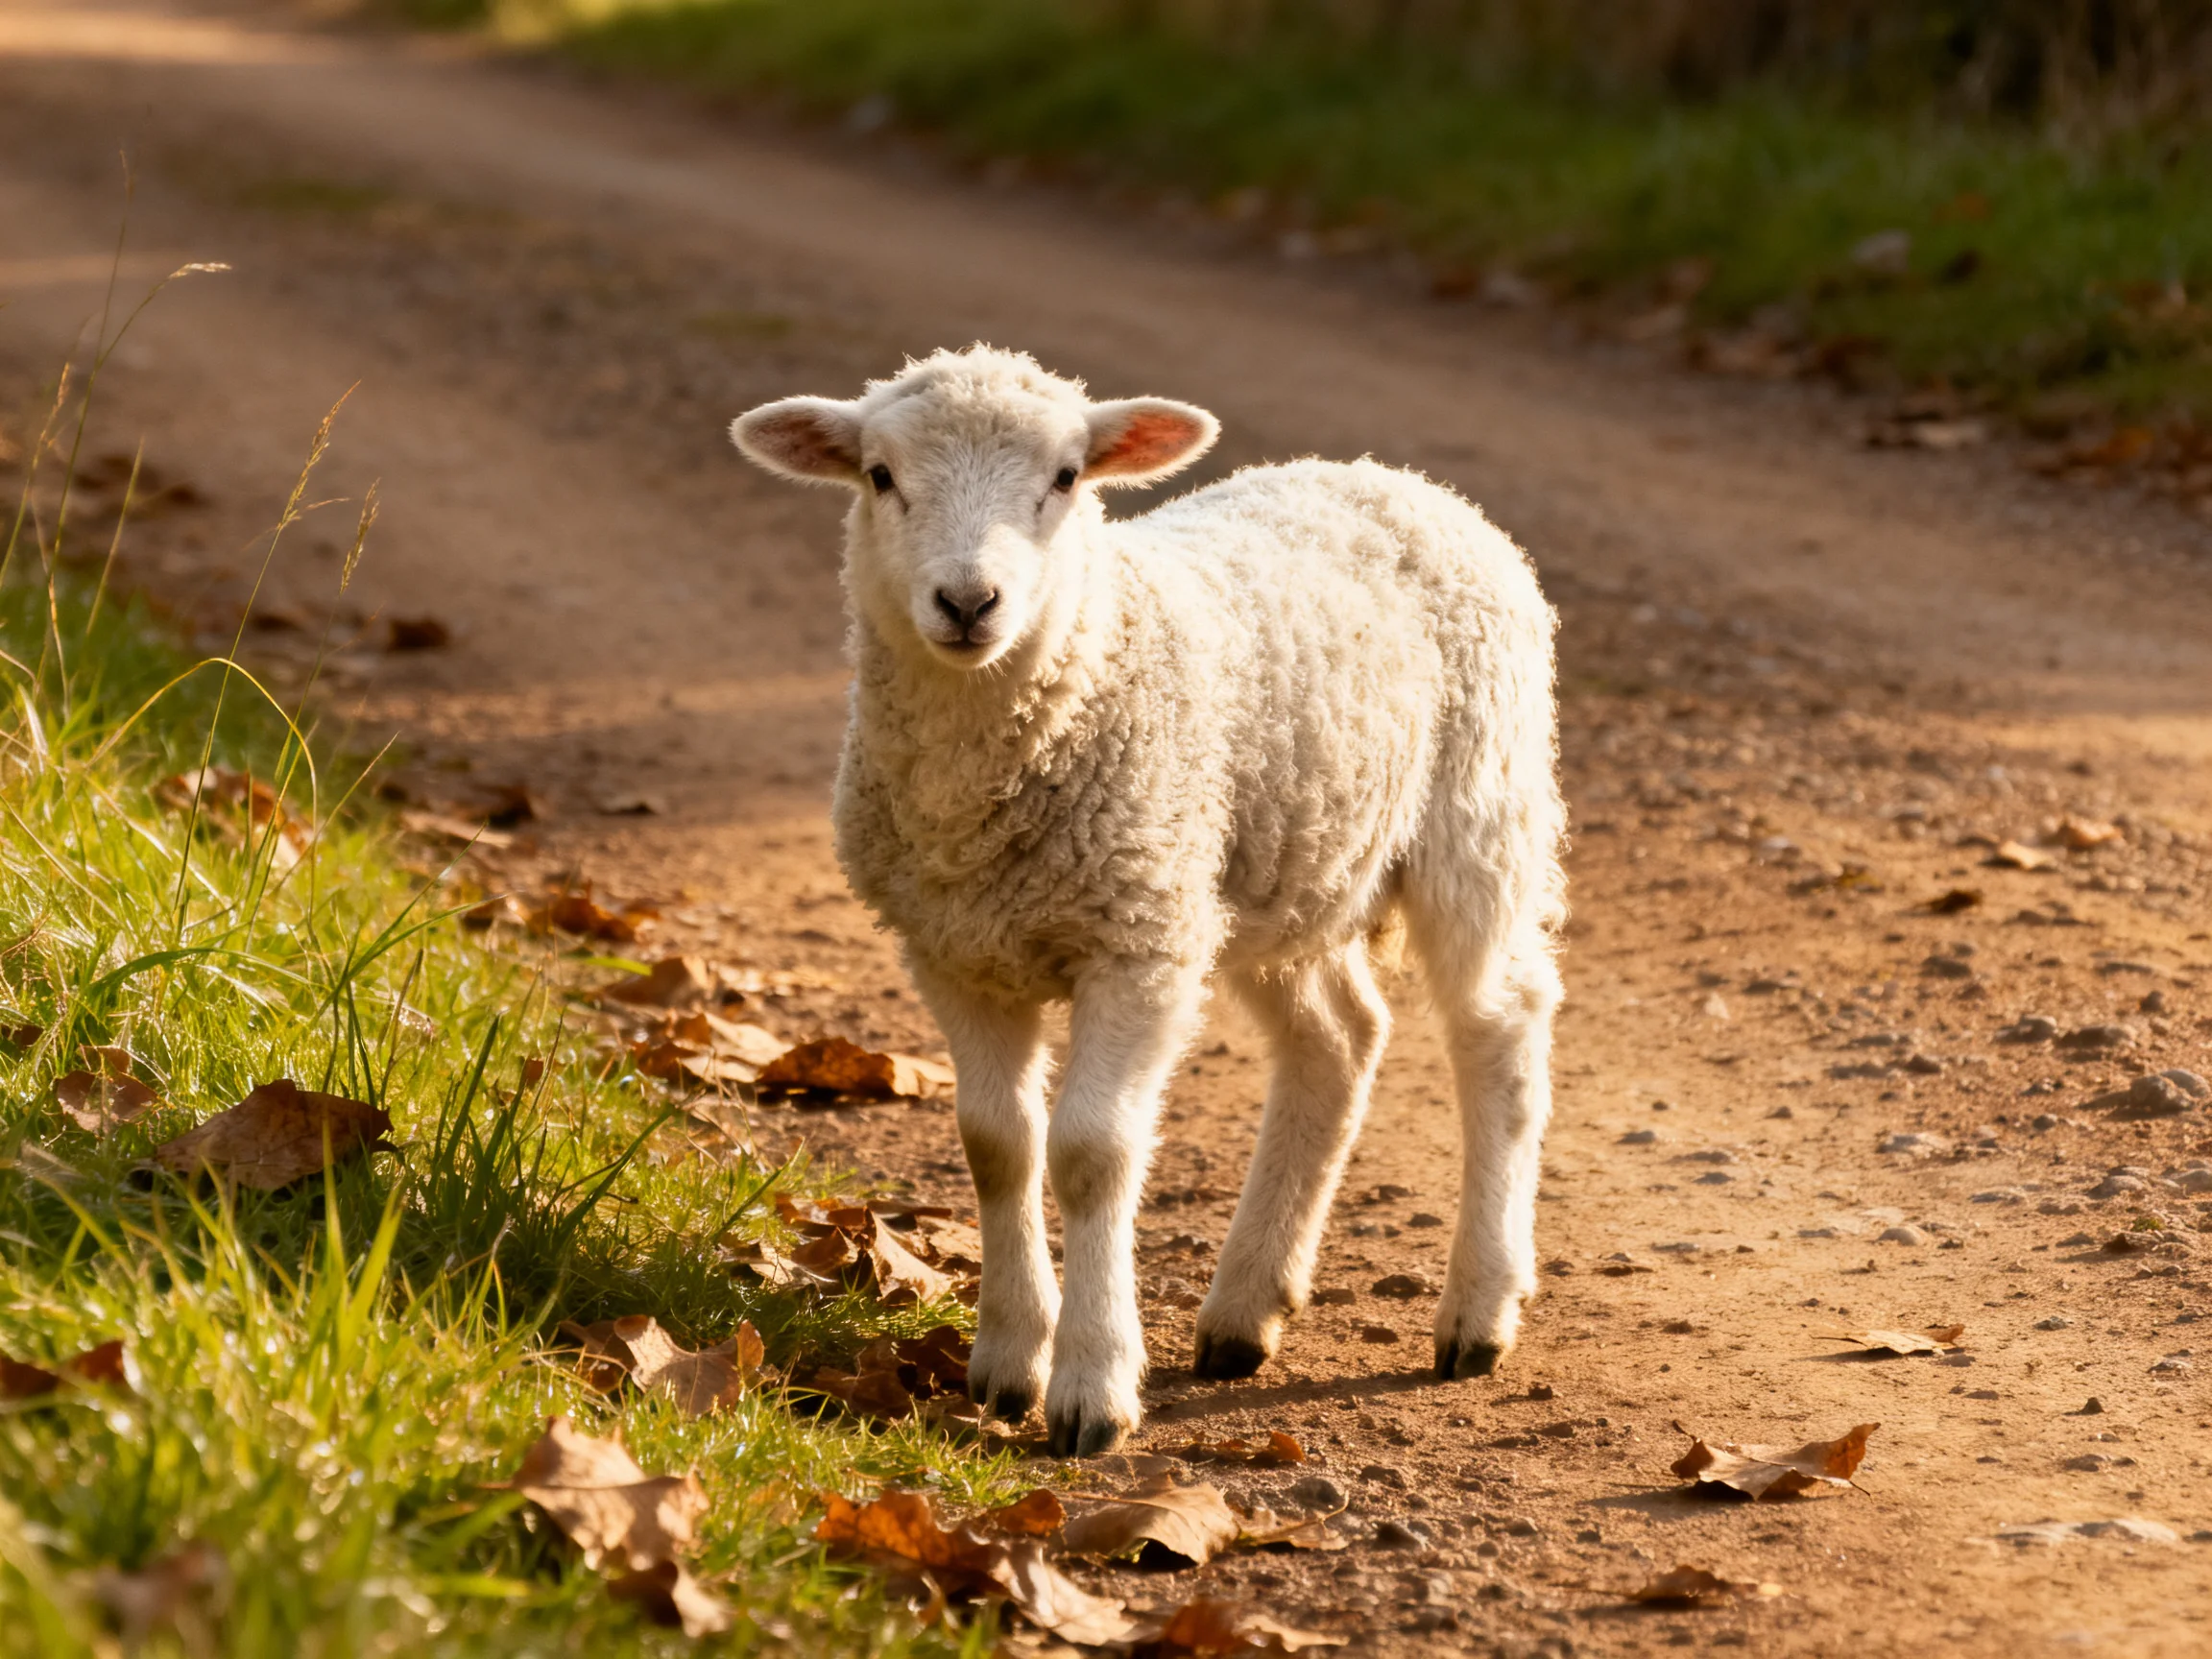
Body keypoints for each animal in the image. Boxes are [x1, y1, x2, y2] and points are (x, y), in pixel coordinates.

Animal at [732, 346, 1564, 1457]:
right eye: (879, 476)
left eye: (1066, 477)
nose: (968, 601)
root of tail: (1396, 478)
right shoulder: (955, 952)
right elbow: (996, 1146)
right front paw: (1007, 1363)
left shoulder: (1137, 943)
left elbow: (1091, 1152)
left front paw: (1091, 1387)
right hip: (1270, 871)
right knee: (1338, 1038)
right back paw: (1248, 1309)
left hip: (1477, 809)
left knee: (1499, 1033)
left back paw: (1478, 1310)